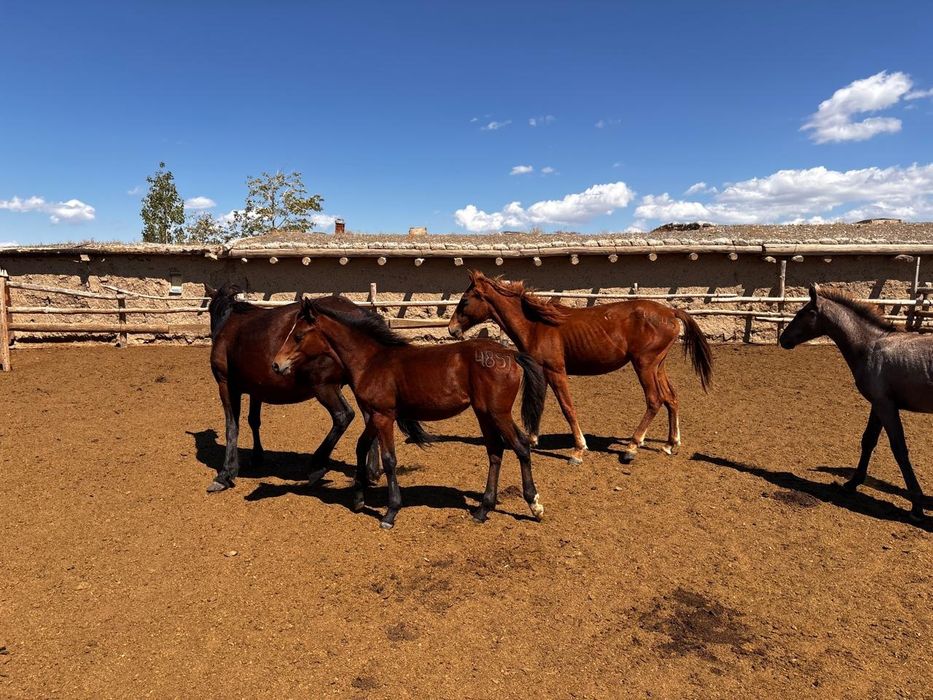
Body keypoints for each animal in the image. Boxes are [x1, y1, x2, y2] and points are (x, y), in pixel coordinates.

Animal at [206, 284, 379, 494]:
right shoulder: (257, 389)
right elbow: (253, 420)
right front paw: (257, 456)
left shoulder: (226, 385)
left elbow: (232, 426)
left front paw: (225, 474)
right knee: (370, 419)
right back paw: (370, 472)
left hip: (324, 387)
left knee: (343, 416)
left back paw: (317, 466)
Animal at [271, 296, 548, 530]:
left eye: (298, 336)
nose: (276, 365)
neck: (372, 361)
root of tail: (511, 353)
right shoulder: (374, 415)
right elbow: (361, 447)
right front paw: (359, 499)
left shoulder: (384, 416)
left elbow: (389, 459)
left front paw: (390, 513)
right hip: (484, 414)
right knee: (495, 452)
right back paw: (482, 510)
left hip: (498, 413)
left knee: (521, 447)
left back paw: (534, 505)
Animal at [448, 270, 713, 465]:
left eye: (465, 300)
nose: (451, 329)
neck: (536, 325)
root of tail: (670, 311)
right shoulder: (542, 372)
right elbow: (539, 405)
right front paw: (532, 439)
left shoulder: (556, 371)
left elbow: (567, 408)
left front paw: (578, 450)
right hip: (658, 365)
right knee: (671, 397)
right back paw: (669, 444)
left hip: (645, 365)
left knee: (655, 400)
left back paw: (632, 446)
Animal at [780, 283, 929, 521]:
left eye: (804, 313)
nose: (783, 339)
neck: (871, 345)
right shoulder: (879, 405)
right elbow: (868, 441)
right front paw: (852, 483)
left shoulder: (886, 406)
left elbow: (899, 449)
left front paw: (916, 505)